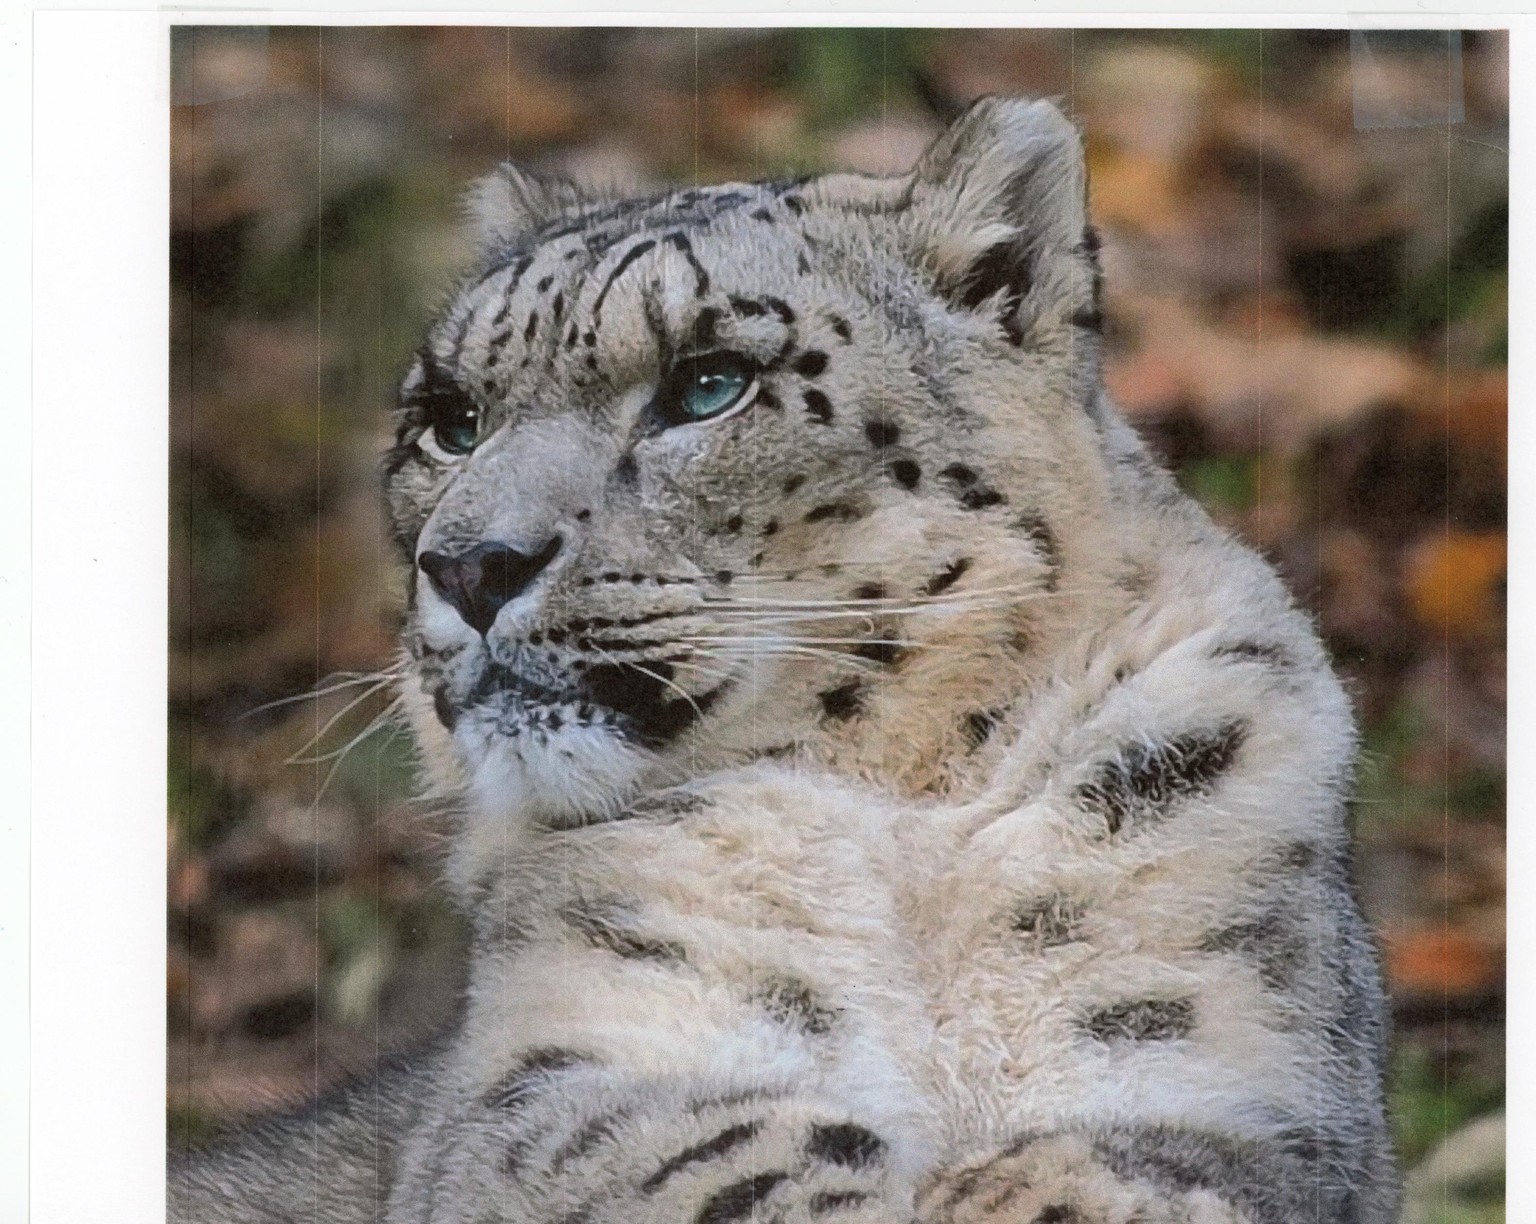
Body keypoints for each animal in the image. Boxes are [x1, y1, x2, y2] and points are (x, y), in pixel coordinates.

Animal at [171, 96, 1399, 1224]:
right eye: (451, 420)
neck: (913, 812)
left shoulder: (1241, 1071)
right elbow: (701, 1155)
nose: (470, 564)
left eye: (709, 384)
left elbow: (1146, 1164)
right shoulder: (545, 1080)